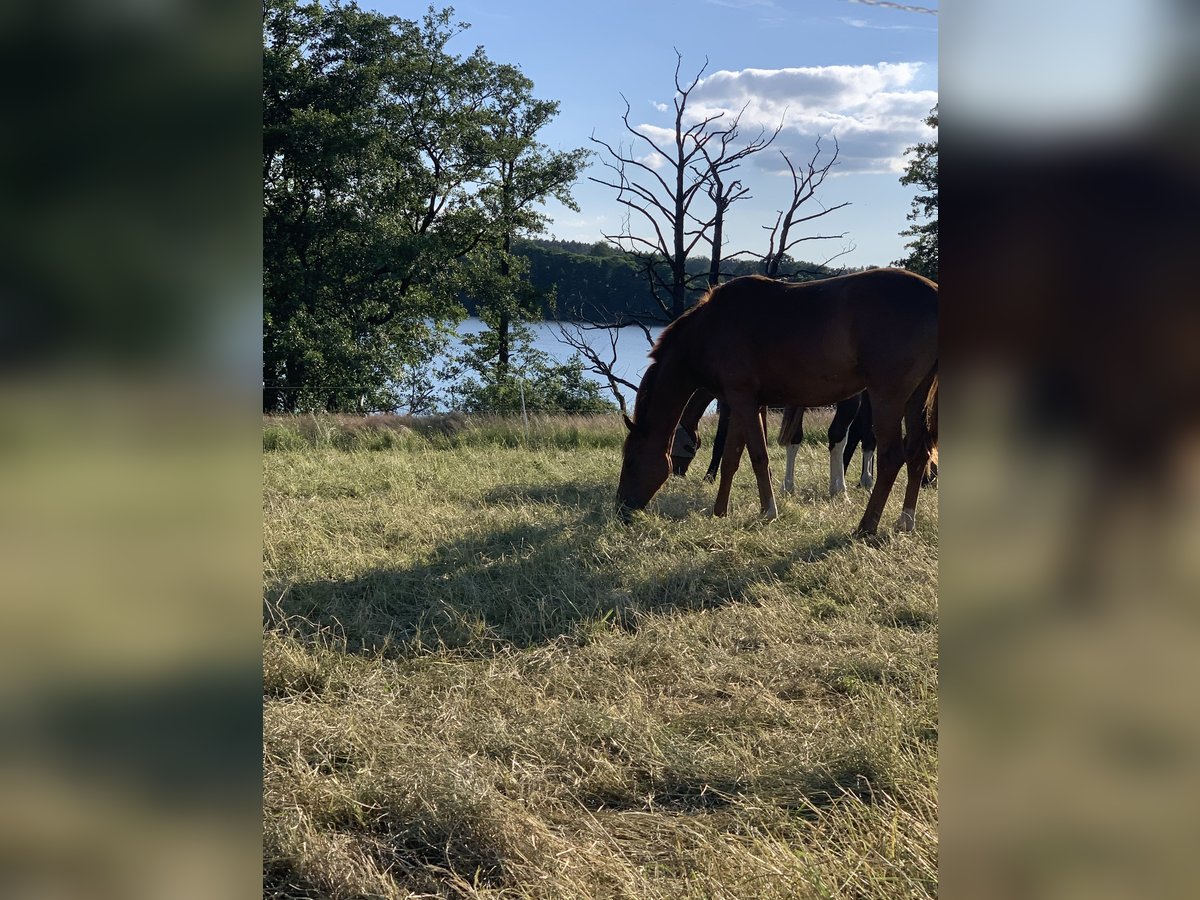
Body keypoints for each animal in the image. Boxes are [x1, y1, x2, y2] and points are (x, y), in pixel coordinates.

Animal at [619, 267, 936, 535]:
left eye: (631, 461)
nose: (622, 509)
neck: (710, 328)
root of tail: (933, 292)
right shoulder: (744, 403)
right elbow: (732, 458)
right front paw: (719, 511)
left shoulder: (743, 401)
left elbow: (758, 456)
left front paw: (768, 512)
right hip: (914, 401)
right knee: (918, 454)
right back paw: (905, 522)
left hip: (887, 399)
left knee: (891, 457)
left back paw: (866, 526)